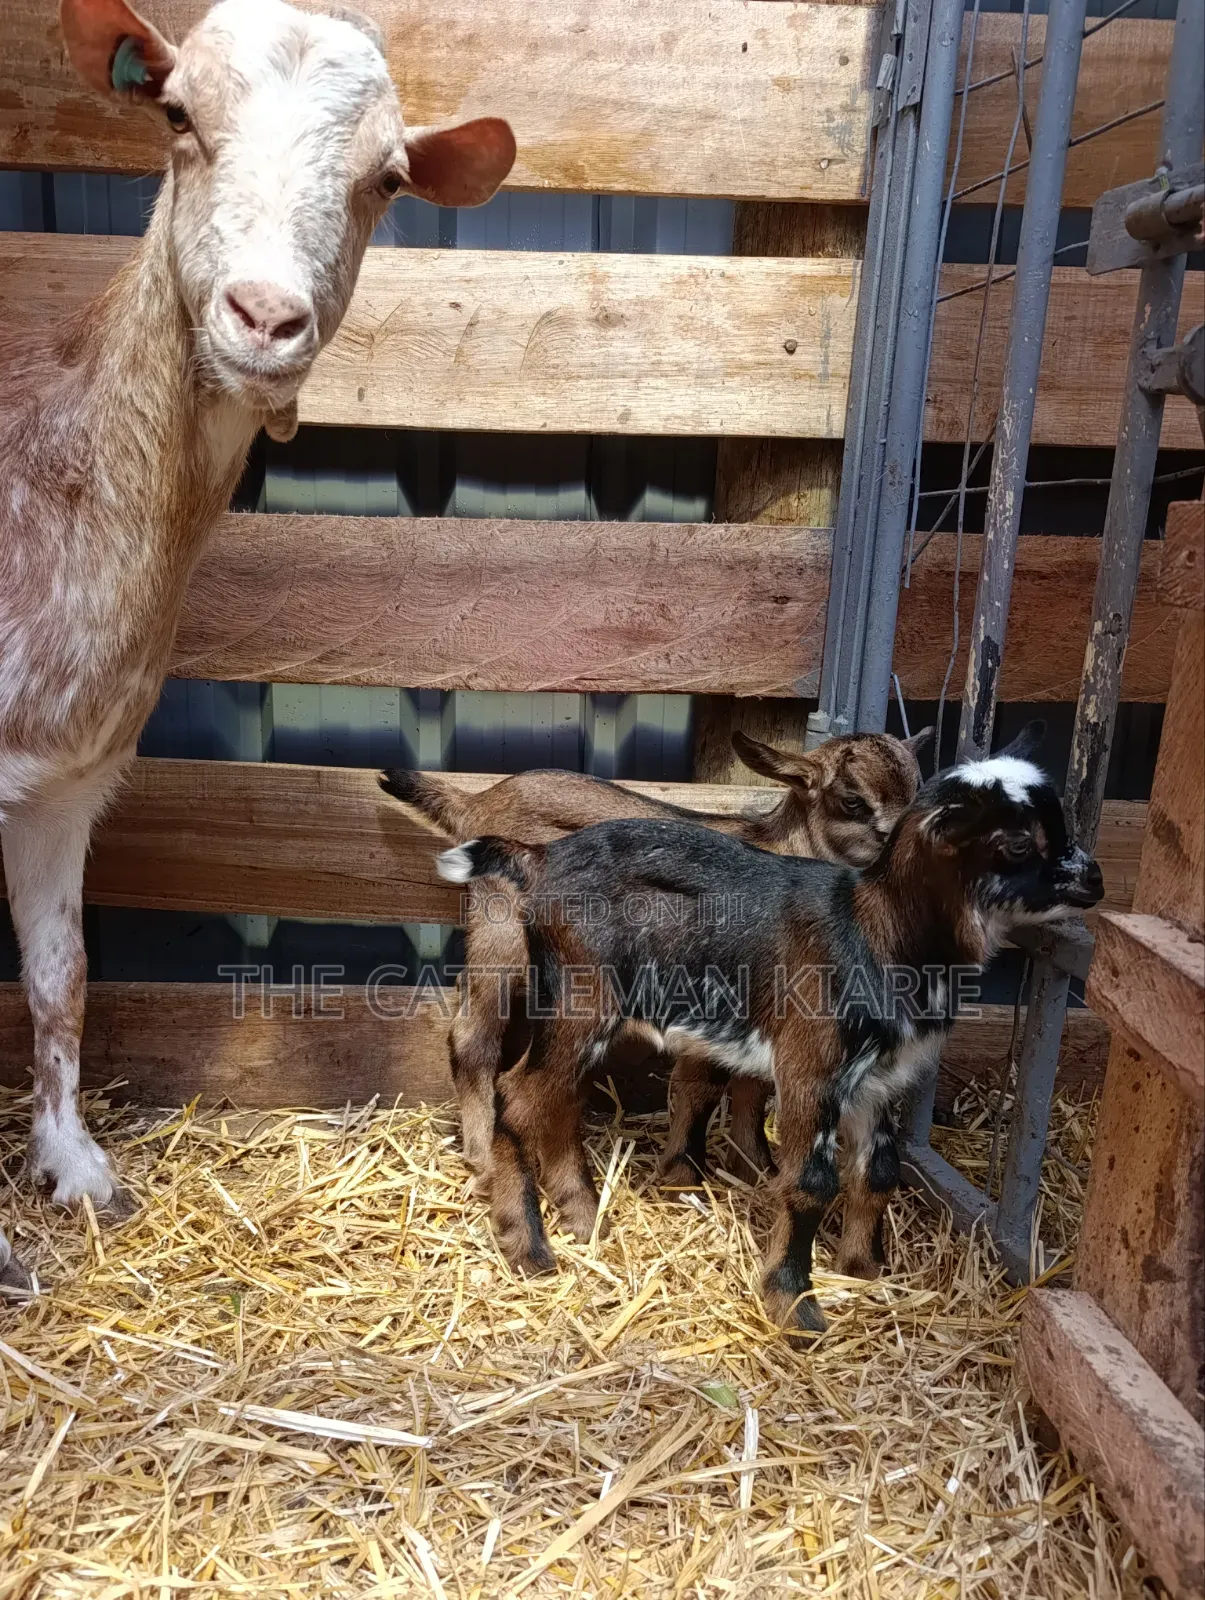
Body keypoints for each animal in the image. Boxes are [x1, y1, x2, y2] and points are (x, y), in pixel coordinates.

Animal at [0, 0, 514, 1288]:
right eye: (178, 115)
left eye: (387, 177)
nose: (266, 317)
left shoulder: (66, 779)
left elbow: (61, 978)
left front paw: (75, 1167)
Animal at [381, 728, 932, 1192]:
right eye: (853, 800)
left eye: (918, 792)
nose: (905, 854)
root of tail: (476, 801)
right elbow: (700, 1085)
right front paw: (685, 1173)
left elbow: (753, 1086)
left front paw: (755, 1168)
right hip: (501, 930)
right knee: (472, 1036)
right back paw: (482, 1157)